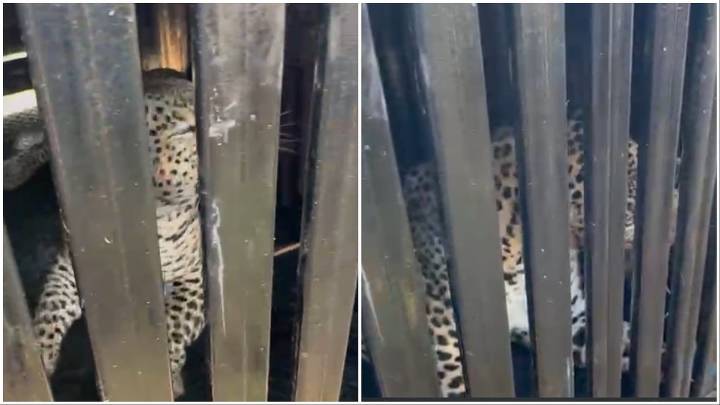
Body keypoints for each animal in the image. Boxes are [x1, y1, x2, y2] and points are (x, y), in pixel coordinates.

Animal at [8, 69, 204, 398]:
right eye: (185, 130)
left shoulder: (194, 279)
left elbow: (173, 326)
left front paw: (166, 373)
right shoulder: (69, 270)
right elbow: (51, 308)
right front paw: (40, 357)